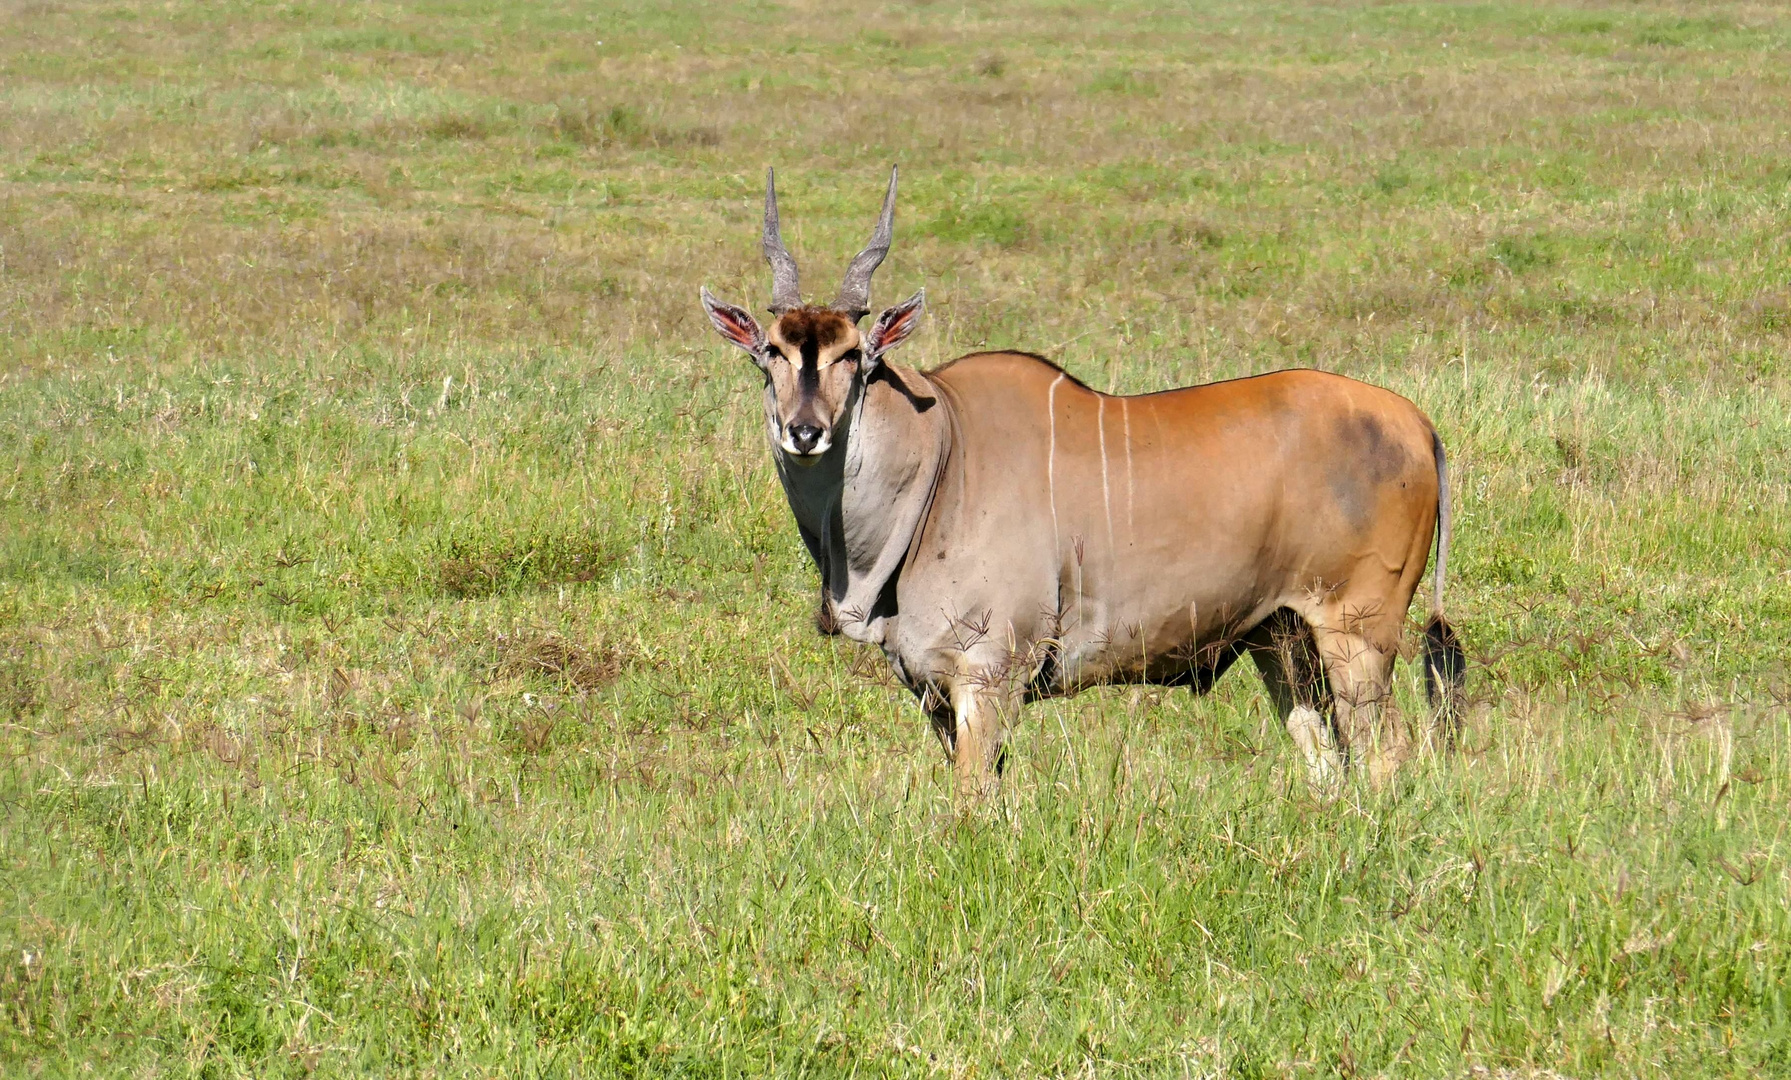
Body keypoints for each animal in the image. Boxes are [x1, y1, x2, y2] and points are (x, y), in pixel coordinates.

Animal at [691, 166, 1461, 795]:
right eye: (771, 353)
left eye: (853, 355)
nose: (804, 431)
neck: (942, 451)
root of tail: (1418, 423)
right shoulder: (936, 692)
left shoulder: (988, 675)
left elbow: (973, 803)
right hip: (1282, 638)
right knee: (1328, 762)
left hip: (1357, 634)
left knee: (1386, 755)